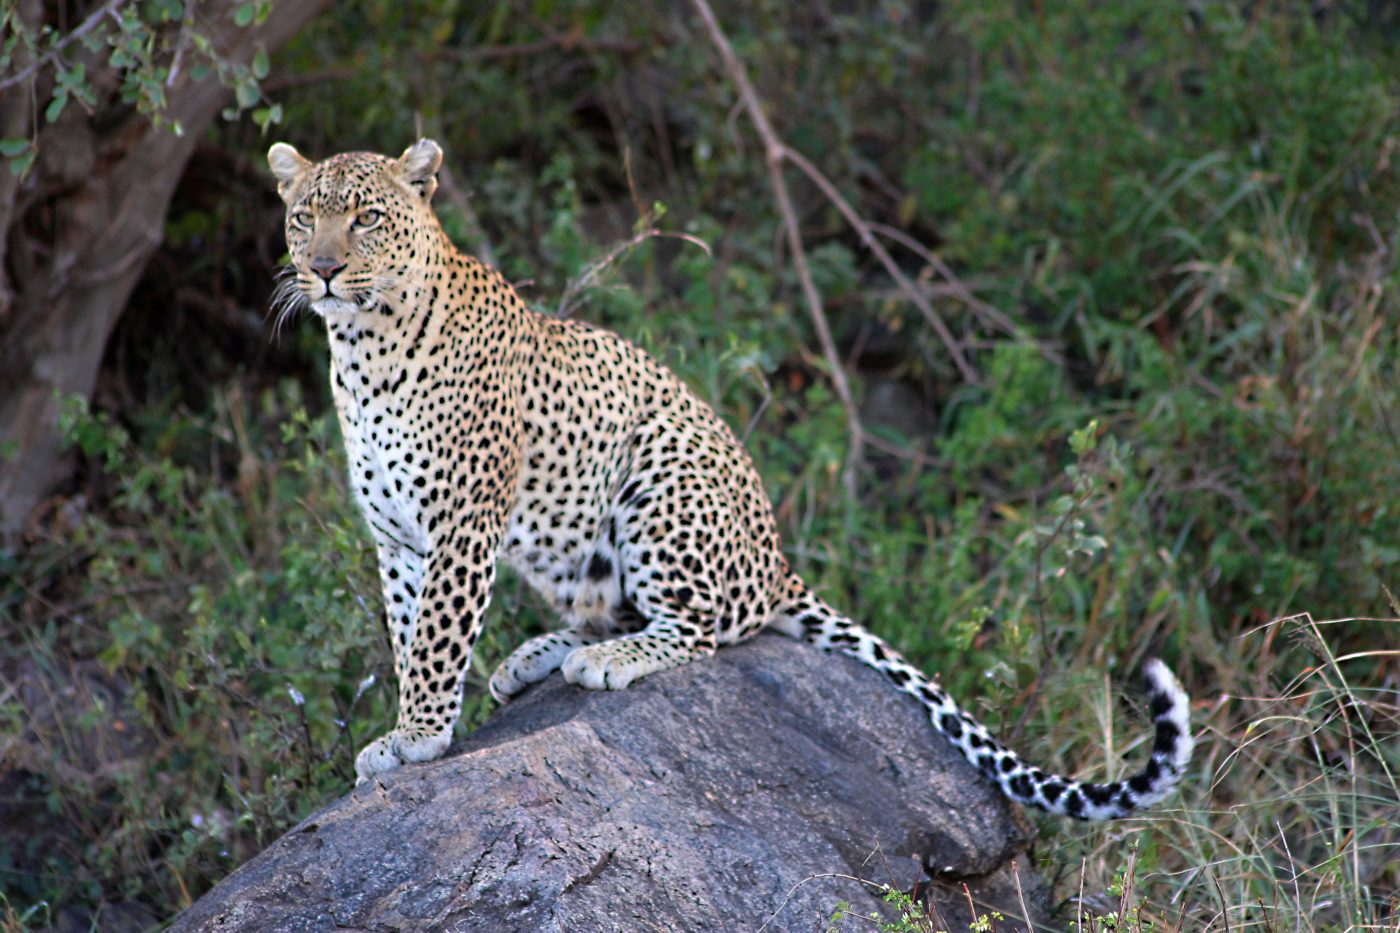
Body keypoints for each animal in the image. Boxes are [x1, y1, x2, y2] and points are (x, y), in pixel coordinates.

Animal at [270, 136, 1192, 812]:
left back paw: (604, 661)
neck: (363, 351)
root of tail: (781, 564)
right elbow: (406, 632)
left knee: (705, 627)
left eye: (367, 218)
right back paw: (538, 655)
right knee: (623, 609)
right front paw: (407, 726)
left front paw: (417, 736)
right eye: (303, 219)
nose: (323, 269)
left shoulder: (463, 521)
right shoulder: (397, 537)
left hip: (661, 469)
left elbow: (434, 637)